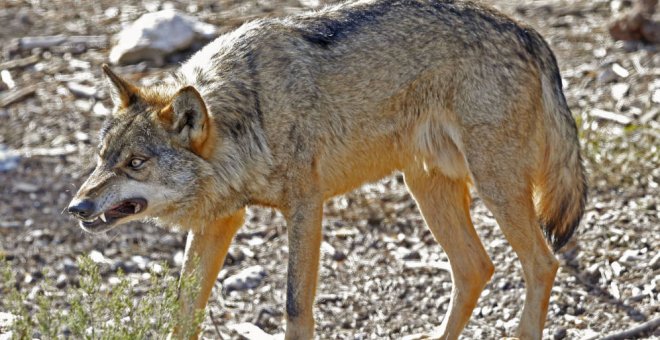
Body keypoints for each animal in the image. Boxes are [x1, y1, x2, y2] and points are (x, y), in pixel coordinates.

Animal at [67, 0, 584, 338]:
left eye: (136, 163)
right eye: (102, 157)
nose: (77, 207)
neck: (251, 113)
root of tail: (530, 33)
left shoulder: (306, 205)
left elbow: (295, 307)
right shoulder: (222, 219)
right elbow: (185, 310)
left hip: (494, 187)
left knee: (542, 263)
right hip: (425, 187)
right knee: (476, 268)